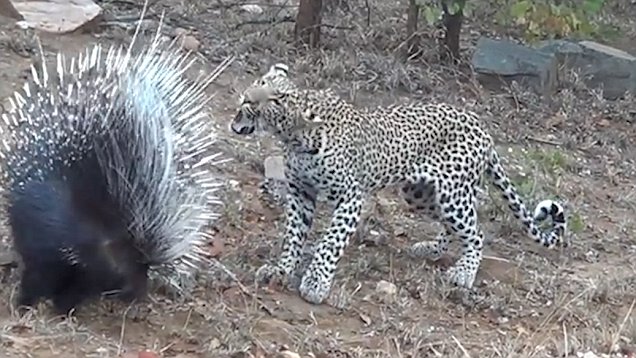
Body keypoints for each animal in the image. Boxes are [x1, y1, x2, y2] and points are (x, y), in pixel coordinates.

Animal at [229, 63, 568, 304]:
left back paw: (463, 272)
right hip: (421, 193)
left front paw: (315, 283)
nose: (247, 97)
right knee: (453, 225)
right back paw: (431, 249)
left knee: (476, 232)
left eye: (277, 100)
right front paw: (281, 269)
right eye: (260, 83)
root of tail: (482, 128)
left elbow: (330, 244)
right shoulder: (301, 193)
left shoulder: (351, 198)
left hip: (453, 194)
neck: (295, 139)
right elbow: (292, 236)